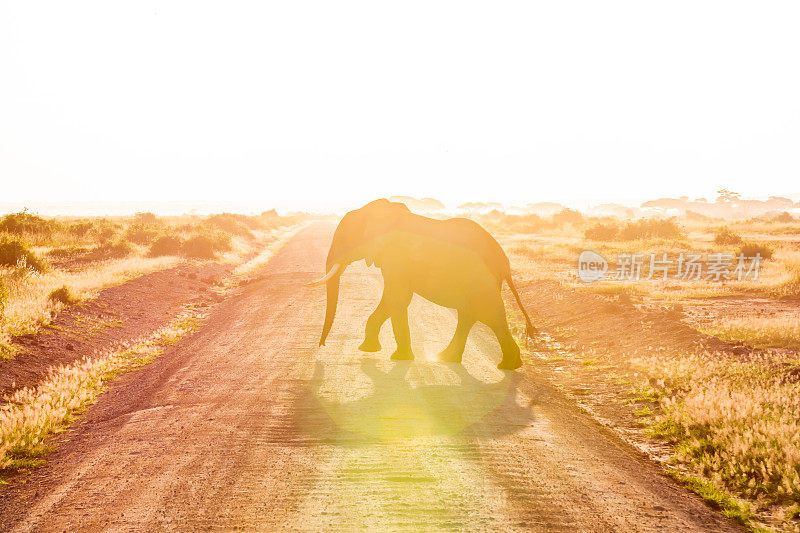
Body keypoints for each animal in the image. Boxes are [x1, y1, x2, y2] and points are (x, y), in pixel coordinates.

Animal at [306, 197, 536, 368]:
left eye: (345, 239)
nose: (322, 345)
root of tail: (504, 263)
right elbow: (395, 299)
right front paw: (369, 349)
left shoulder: (397, 256)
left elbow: (397, 298)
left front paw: (399, 358)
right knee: (469, 315)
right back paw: (448, 358)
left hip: (480, 280)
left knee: (488, 315)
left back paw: (508, 366)